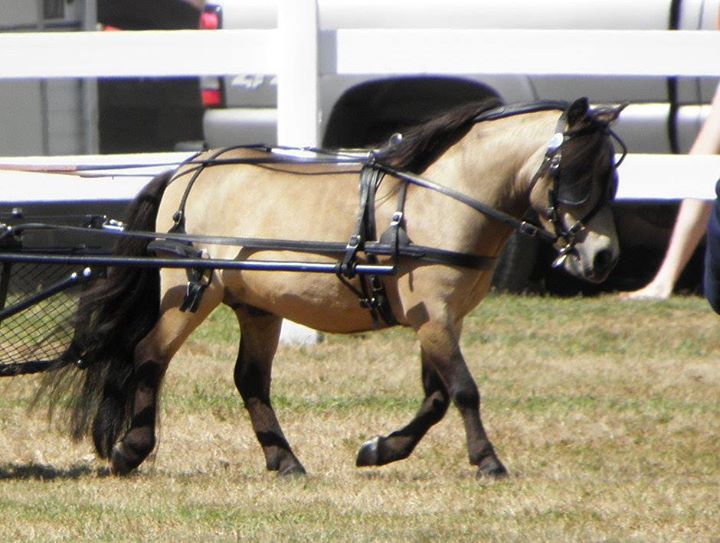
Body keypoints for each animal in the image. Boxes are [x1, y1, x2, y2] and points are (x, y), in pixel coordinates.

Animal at [40, 99, 624, 480]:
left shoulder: (439, 319)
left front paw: (379, 449)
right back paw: (132, 450)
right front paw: (488, 462)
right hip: (192, 292)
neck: (439, 201)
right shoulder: (433, 316)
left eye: (612, 176)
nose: (603, 257)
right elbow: (463, 391)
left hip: (256, 306)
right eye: (575, 175)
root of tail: (192, 166)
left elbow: (436, 397)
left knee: (250, 380)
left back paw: (285, 460)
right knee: (150, 354)